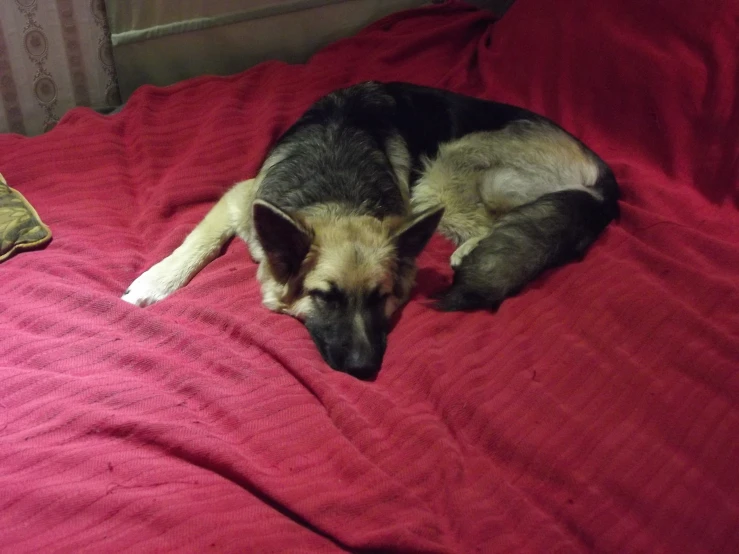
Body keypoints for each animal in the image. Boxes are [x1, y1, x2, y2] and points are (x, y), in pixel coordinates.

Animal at [123, 81, 620, 376]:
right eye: (326, 298)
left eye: (380, 298)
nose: (364, 369)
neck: (336, 194)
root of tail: (604, 172)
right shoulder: (238, 199)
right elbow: (194, 244)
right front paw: (155, 281)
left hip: (442, 170)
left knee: (492, 219)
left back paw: (470, 250)